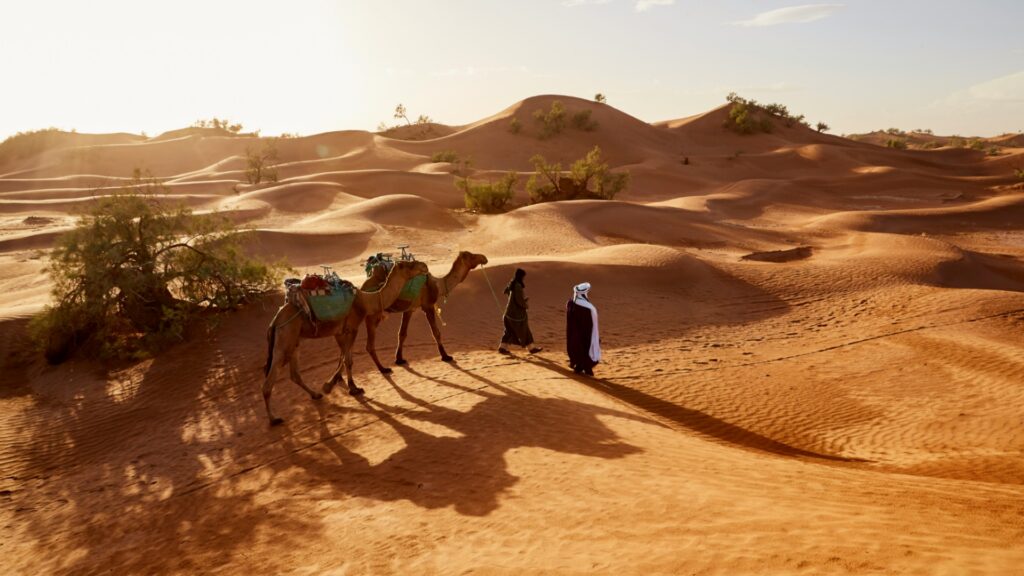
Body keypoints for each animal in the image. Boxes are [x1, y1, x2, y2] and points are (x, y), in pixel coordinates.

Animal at [262, 259, 430, 426]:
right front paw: (353, 388)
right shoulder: (352, 328)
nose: (424, 266)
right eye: (408, 265)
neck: (365, 301)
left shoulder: (340, 331)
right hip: (284, 339)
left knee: (295, 374)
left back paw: (316, 394)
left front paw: (333, 384)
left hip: (295, 341)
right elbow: (349, 360)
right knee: (269, 380)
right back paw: (273, 418)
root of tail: (275, 322)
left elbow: (343, 356)